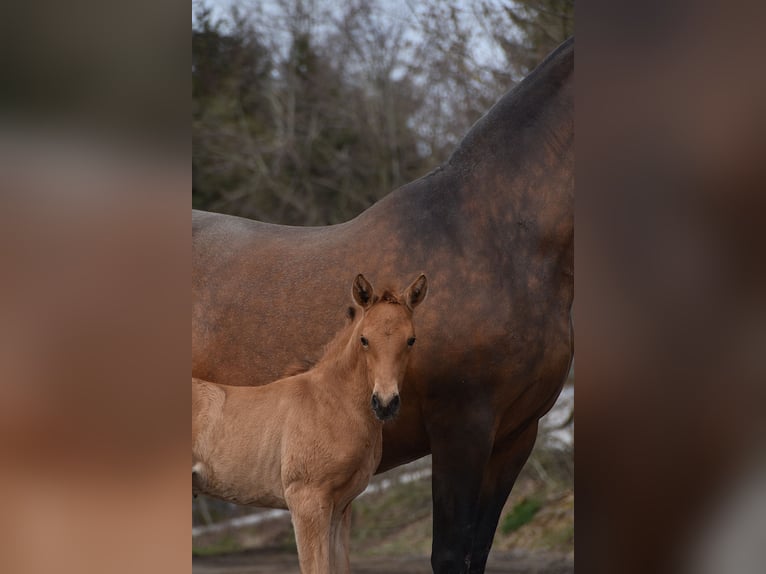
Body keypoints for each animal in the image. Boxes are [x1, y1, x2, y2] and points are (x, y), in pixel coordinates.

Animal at [192, 274, 428, 574]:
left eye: (411, 339)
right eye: (364, 339)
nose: (385, 403)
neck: (330, 403)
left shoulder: (340, 508)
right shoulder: (306, 500)